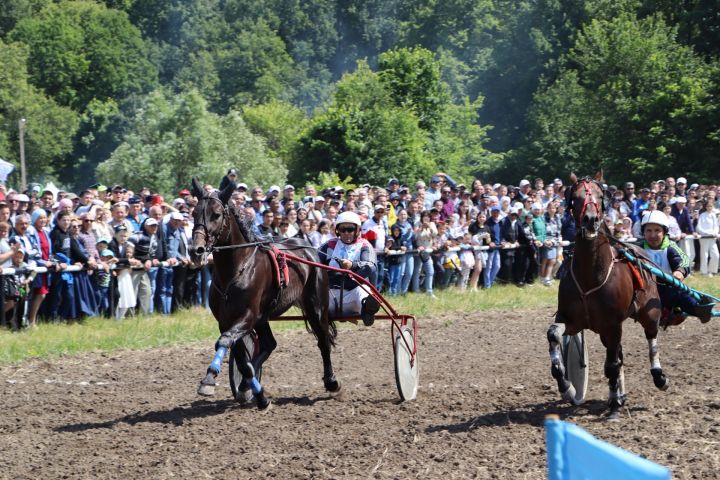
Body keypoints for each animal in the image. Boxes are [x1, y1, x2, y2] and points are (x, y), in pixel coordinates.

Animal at [190, 178, 338, 410]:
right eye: (194, 212)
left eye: (216, 214)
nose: (196, 250)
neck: (237, 268)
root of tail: (308, 246)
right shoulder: (227, 320)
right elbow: (242, 360)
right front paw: (255, 393)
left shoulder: (247, 316)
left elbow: (224, 342)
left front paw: (209, 379)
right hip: (263, 317)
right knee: (269, 344)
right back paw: (246, 386)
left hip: (316, 307)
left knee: (323, 341)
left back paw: (331, 381)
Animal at [548, 172, 668, 420]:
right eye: (575, 197)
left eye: (600, 195)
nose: (590, 220)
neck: (591, 275)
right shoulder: (572, 320)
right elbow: (553, 335)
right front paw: (567, 386)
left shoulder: (613, 324)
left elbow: (612, 365)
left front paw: (613, 406)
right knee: (619, 355)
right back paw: (620, 394)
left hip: (649, 313)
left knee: (650, 339)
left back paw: (658, 377)